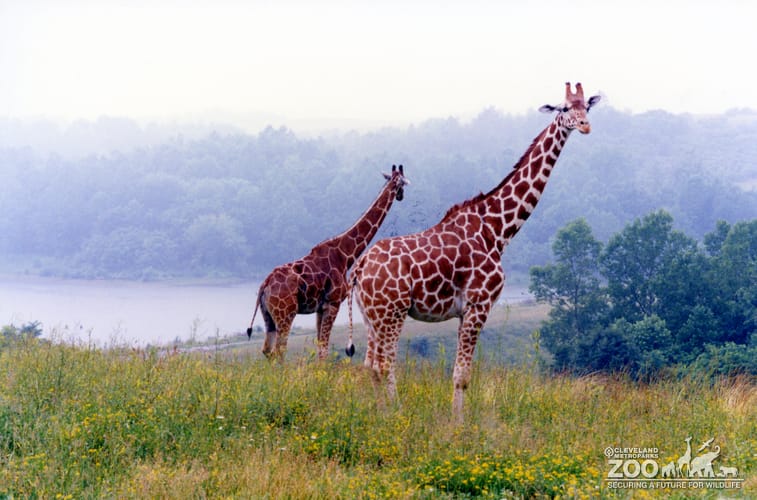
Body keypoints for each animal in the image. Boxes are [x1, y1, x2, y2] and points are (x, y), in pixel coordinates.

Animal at [247, 165, 408, 361]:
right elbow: (324, 348)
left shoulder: (320, 308)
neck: (346, 255)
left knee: (267, 350)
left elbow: (319, 347)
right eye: (403, 182)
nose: (401, 196)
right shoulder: (333, 303)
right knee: (279, 350)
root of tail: (265, 284)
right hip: (286, 313)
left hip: (268, 316)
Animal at [347, 83, 600, 423]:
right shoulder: (479, 305)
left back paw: (381, 415)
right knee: (384, 364)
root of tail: (360, 268)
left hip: (371, 315)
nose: (585, 125)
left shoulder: (463, 311)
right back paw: (396, 416)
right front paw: (459, 425)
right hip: (392, 312)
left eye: (587, 106)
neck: (498, 229)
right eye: (563, 108)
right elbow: (462, 375)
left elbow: (459, 373)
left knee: (370, 365)